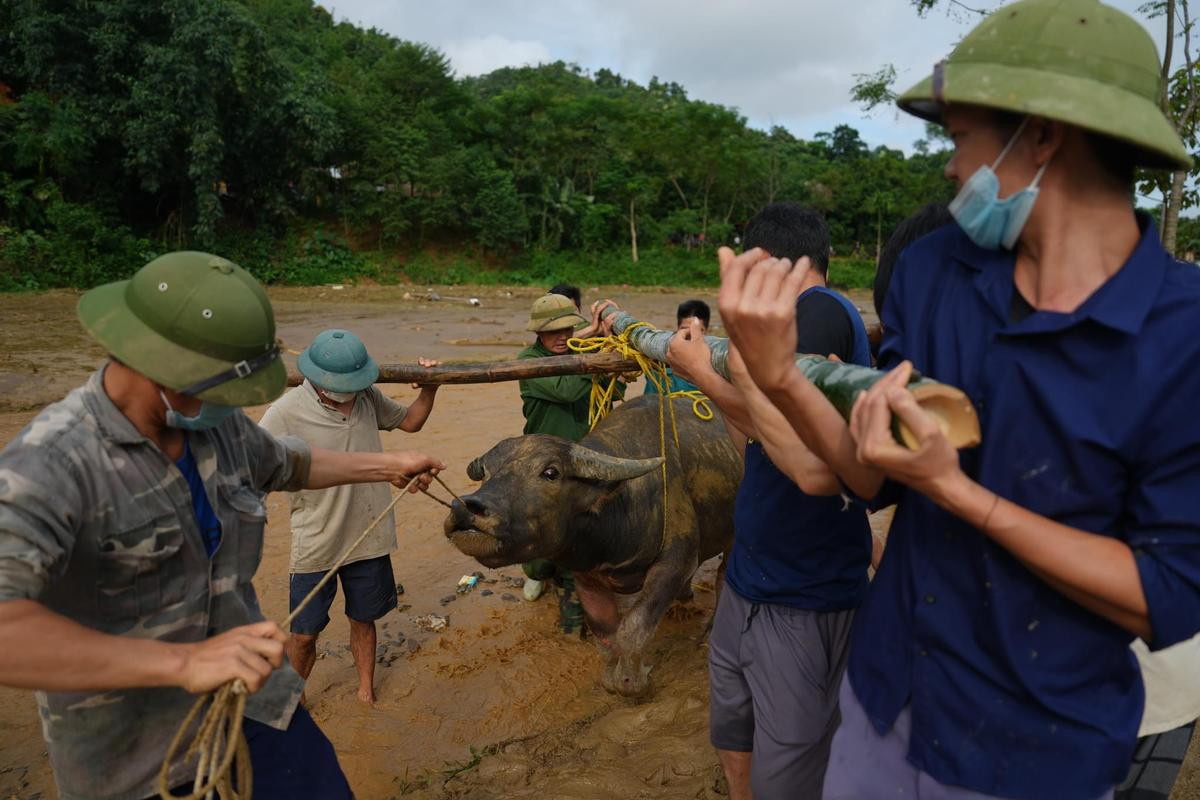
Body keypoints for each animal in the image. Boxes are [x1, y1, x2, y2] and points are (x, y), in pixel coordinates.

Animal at [444, 393, 739, 695]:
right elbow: (605, 634)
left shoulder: (678, 560)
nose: (466, 509)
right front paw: (610, 678)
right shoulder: (587, 576)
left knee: (723, 578)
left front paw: (631, 682)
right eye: (486, 472)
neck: (619, 507)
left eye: (550, 472)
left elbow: (632, 627)